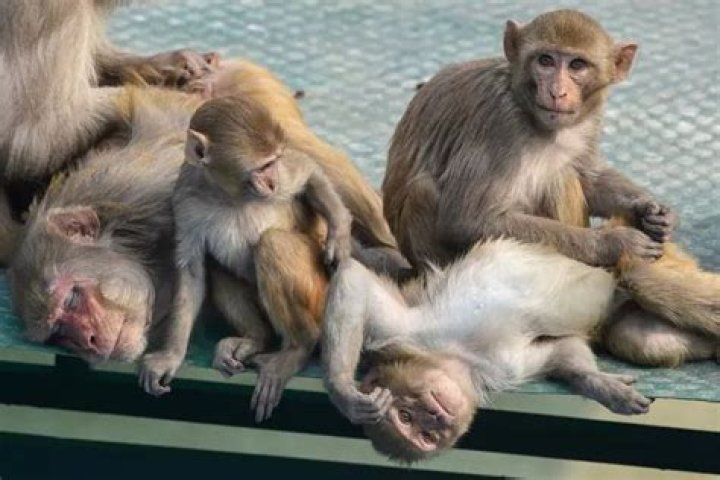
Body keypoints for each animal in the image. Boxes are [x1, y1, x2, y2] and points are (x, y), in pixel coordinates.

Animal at [140, 94, 353, 422]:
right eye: (262, 166)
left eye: (274, 161)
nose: (272, 183)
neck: (230, 194)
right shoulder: (185, 198)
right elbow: (192, 272)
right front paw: (171, 356)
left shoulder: (284, 175)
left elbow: (308, 171)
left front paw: (339, 234)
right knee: (216, 267)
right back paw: (255, 338)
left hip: (319, 293)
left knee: (272, 244)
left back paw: (298, 348)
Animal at [322, 239, 659, 463]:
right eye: (423, 435)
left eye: (405, 415)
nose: (434, 417)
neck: (461, 359)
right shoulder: (502, 368)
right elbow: (558, 350)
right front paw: (595, 382)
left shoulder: (407, 333)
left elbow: (354, 279)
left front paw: (343, 391)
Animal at [381, 9, 719, 367]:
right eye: (545, 60)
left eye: (577, 65)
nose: (557, 91)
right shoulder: (499, 124)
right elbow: (465, 220)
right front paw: (614, 243)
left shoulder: (586, 122)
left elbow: (590, 176)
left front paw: (653, 212)